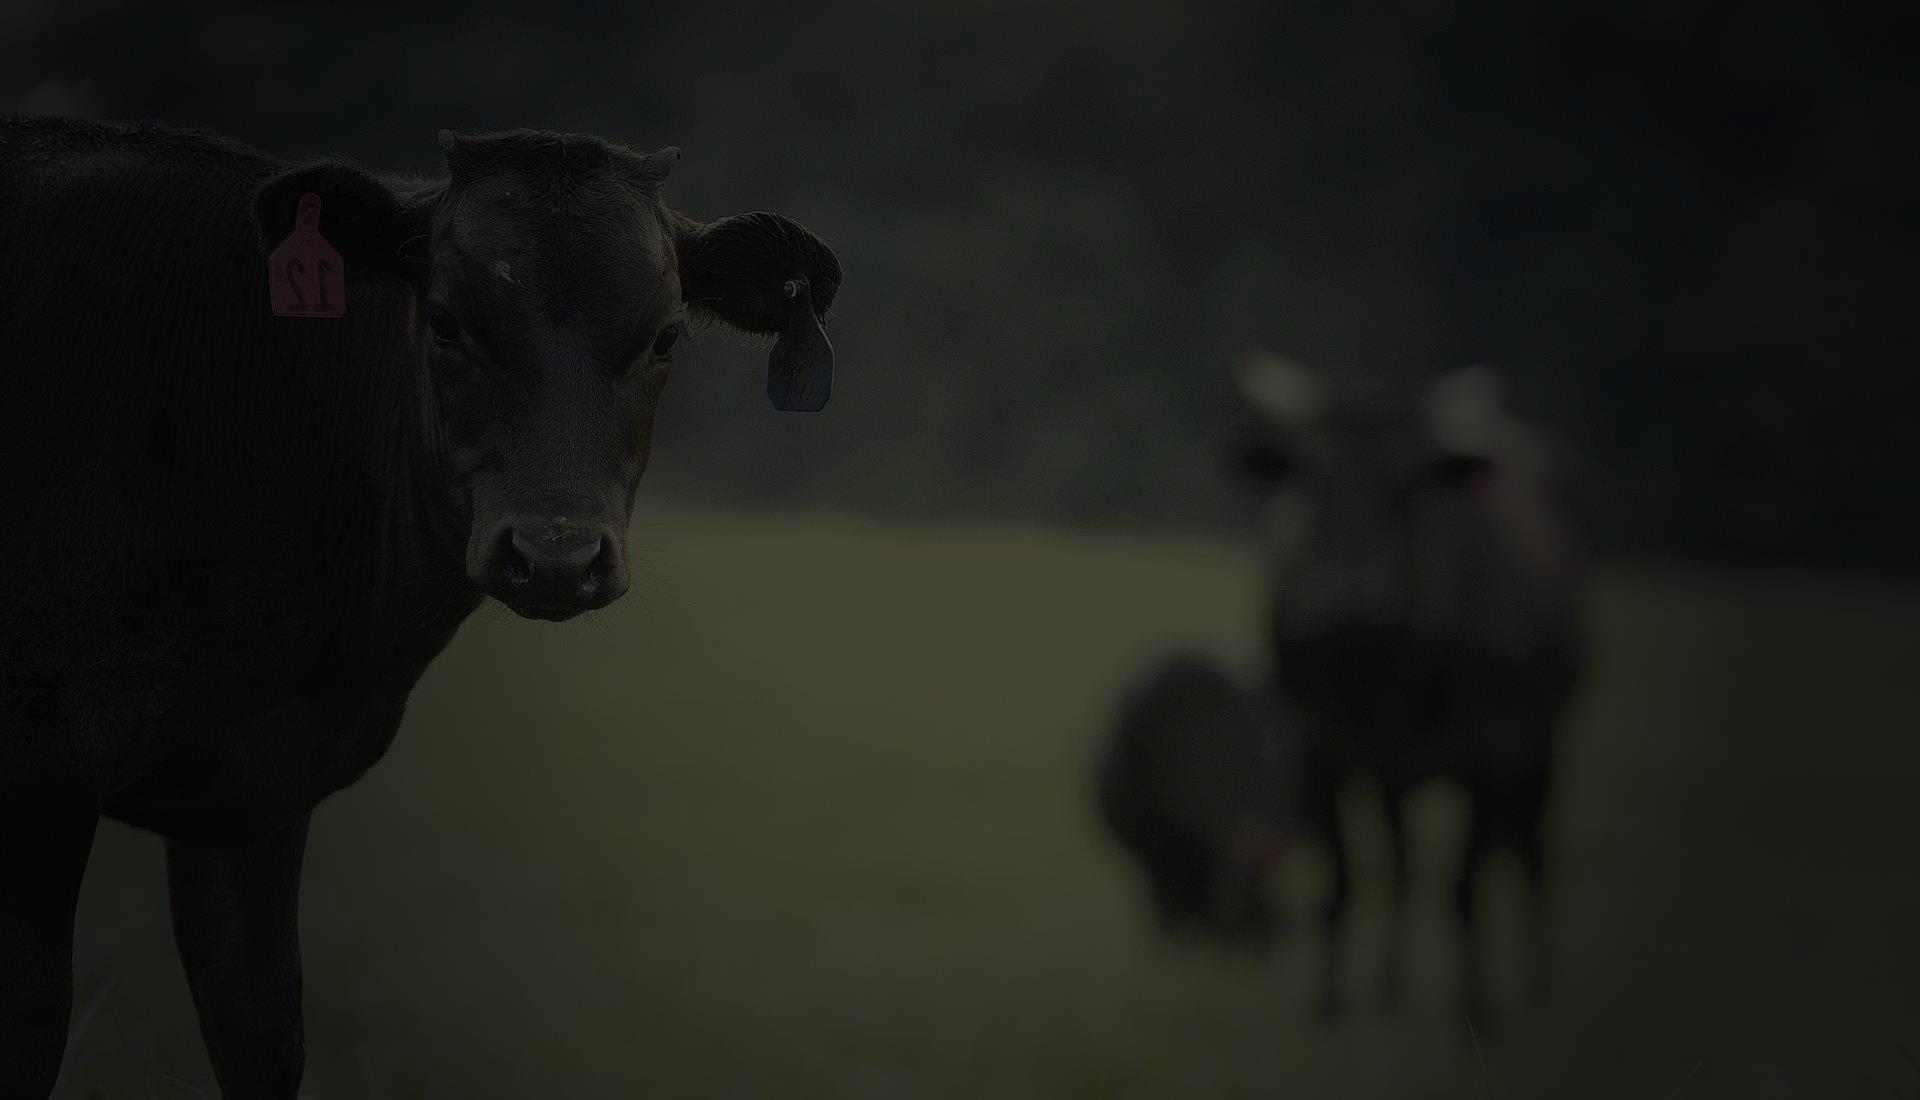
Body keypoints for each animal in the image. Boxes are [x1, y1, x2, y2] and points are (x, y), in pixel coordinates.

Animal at [0, 115, 840, 1090]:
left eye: (667, 335)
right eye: (443, 320)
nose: (557, 558)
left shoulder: (255, 793)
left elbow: (259, 1019)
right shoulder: (41, 768)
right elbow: (30, 1020)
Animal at [1236, 358, 1582, 1021]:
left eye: (1411, 485)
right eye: (1312, 477)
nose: (1347, 604)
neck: (1390, 672)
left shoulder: (1492, 757)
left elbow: (1465, 885)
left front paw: (1476, 1009)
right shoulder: (1316, 750)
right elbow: (1344, 878)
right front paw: (1329, 1003)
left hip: (1545, 747)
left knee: (1533, 852)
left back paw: (1542, 985)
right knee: (1400, 864)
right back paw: (1388, 984)